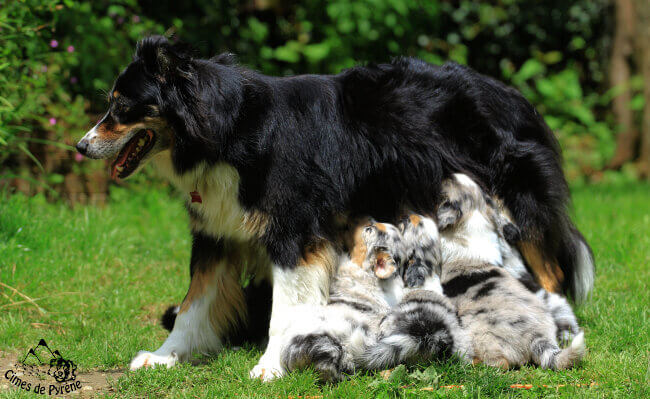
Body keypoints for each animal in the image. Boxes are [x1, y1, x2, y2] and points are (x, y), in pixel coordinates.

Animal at [76, 35, 592, 382]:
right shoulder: (216, 232)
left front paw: (270, 366)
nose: (81, 146)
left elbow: (285, 312)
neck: (228, 128)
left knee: (548, 271)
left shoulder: (294, 233)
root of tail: (513, 93)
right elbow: (192, 305)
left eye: (121, 105)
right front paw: (164, 357)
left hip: (519, 202)